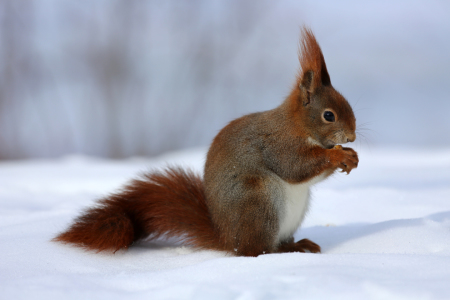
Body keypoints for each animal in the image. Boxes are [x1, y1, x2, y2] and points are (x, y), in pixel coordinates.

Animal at [54, 27, 358, 255]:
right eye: (329, 115)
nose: (352, 136)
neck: (298, 125)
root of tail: (226, 238)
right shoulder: (278, 144)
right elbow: (296, 167)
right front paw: (339, 155)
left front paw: (351, 157)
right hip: (259, 202)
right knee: (255, 251)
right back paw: (284, 250)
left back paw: (299, 243)